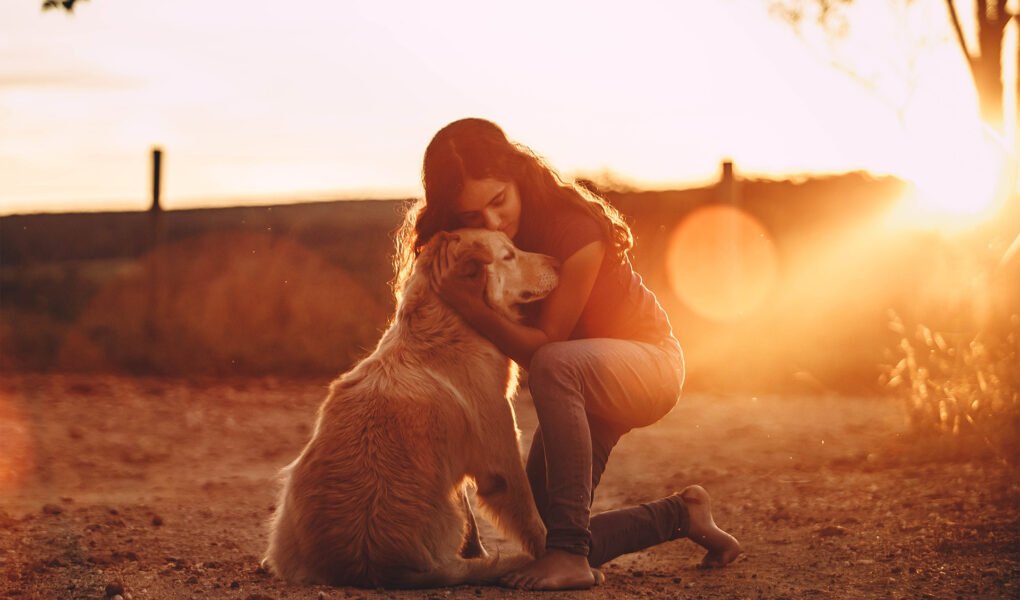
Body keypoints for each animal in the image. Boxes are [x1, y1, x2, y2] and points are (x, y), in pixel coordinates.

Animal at [263, 227, 558, 587]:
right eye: (509, 255)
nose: (558, 262)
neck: (447, 326)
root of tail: (373, 565)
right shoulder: (501, 453)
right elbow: (530, 514)